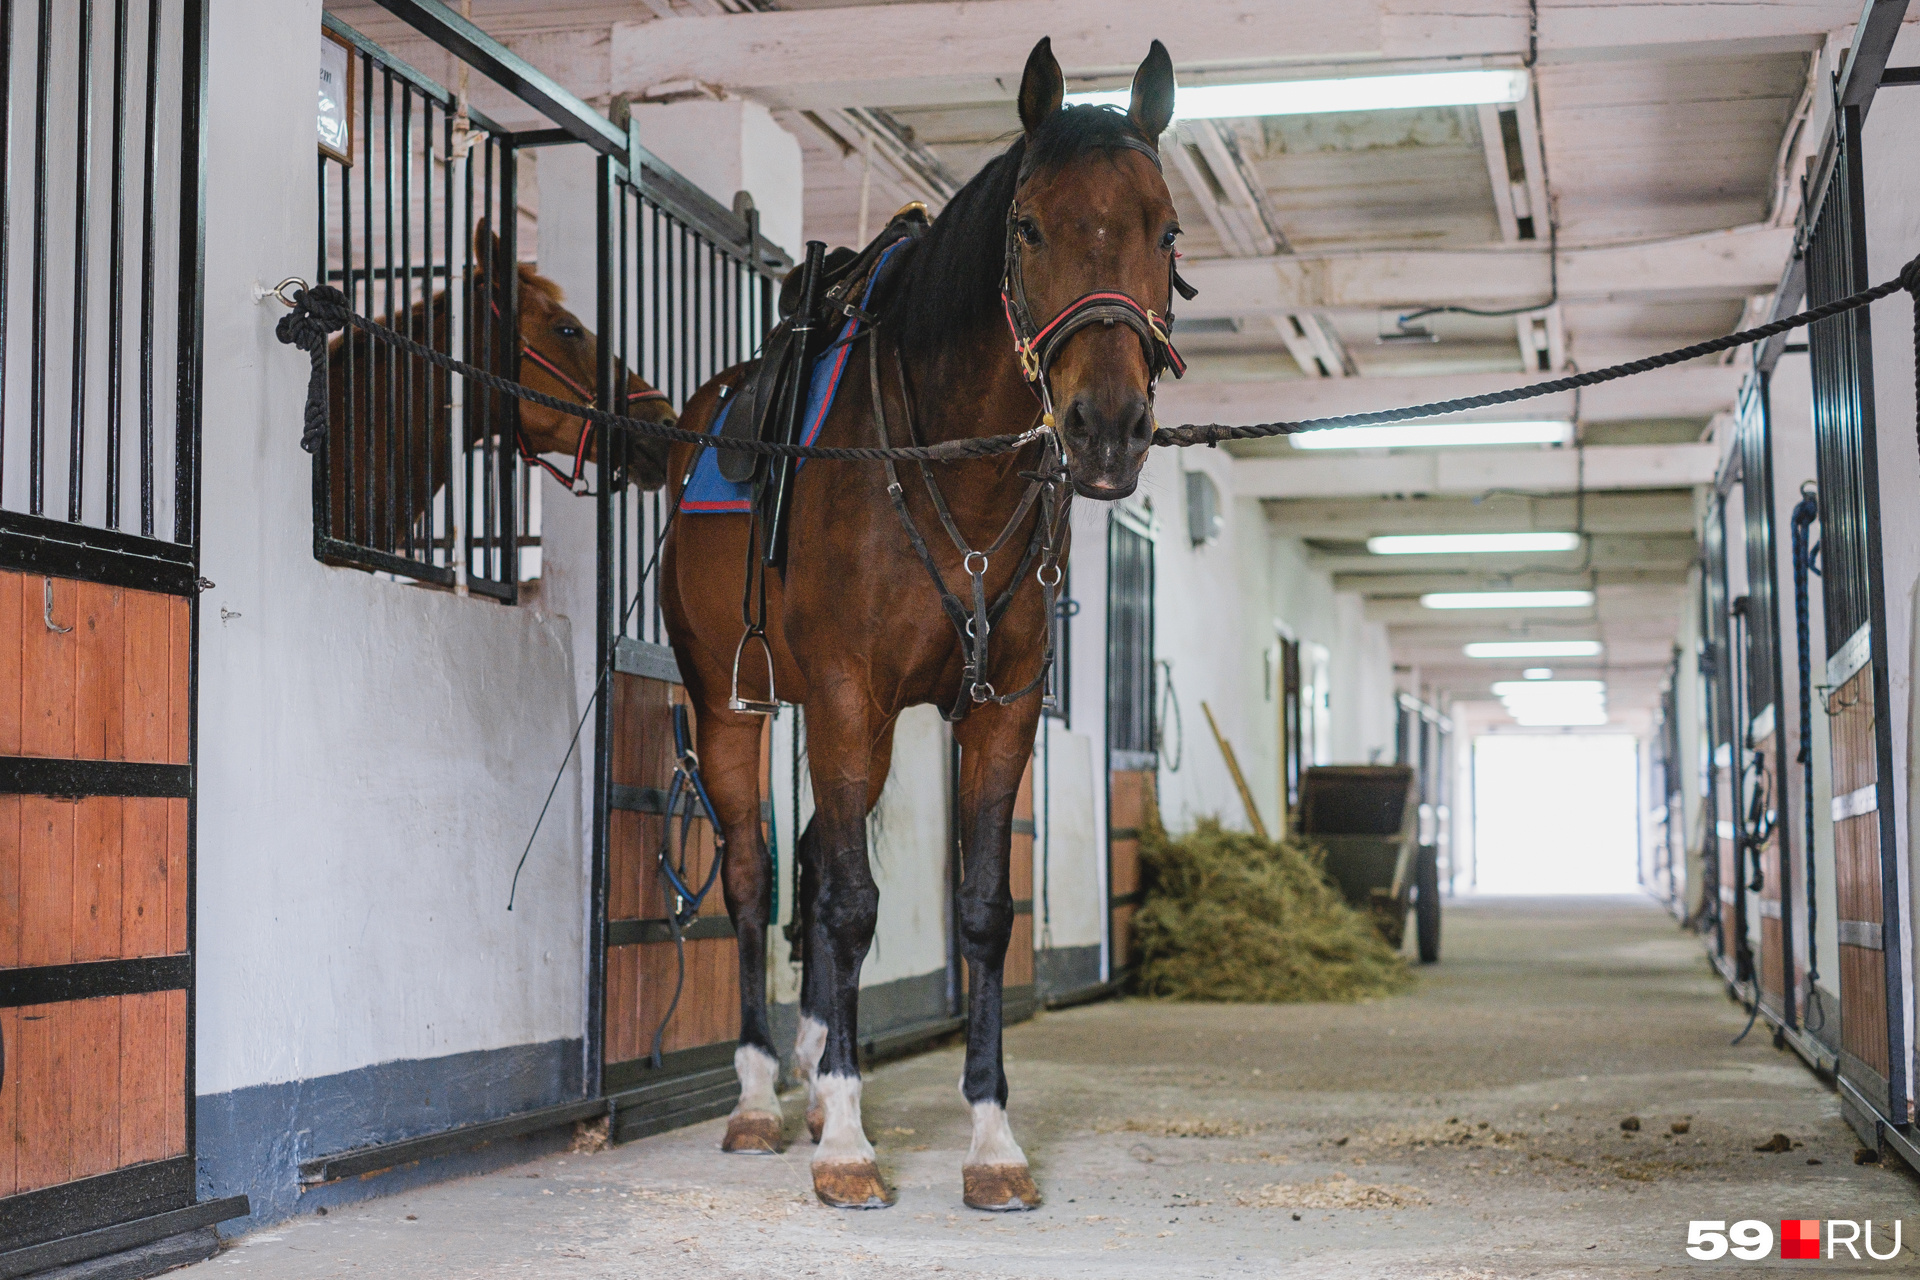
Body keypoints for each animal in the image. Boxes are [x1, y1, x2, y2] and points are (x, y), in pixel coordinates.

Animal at [656, 37, 1182, 1212]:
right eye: (1028, 227)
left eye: (1167, 230)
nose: (1109, 429)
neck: (954, 466)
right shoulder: (848, 694)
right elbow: (851, 904)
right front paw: (851, 1144)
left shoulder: (999, 708)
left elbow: (980, 907)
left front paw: (991, 1142)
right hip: (733, 704)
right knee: (755, 877)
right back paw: (761, 1099)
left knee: (811, 860)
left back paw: (811, 1077)